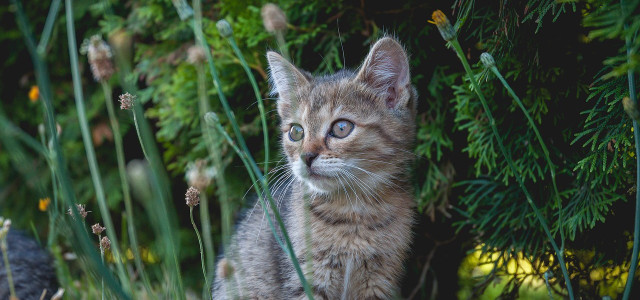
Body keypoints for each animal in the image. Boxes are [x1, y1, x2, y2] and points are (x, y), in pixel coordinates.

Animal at [212, 36, 418, 298]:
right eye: (296, 132)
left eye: (341, 128)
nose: (306, 156)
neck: (354, 213)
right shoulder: (306, 278)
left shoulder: (380, 280)